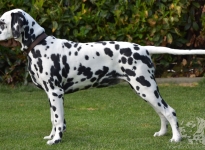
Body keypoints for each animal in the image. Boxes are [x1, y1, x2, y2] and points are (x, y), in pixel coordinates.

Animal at [1, 8, 205, 145]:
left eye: (2, 22)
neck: (39, 45)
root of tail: (143, 49)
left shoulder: (55, 92)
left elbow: (58, 120)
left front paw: (56, 140)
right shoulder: (51, 95)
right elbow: (53, 119)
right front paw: (51, 136)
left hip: (146, 89)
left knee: (169, 111)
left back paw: (176, 138)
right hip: (146, 91)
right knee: (161, 112)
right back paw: (162, 133)